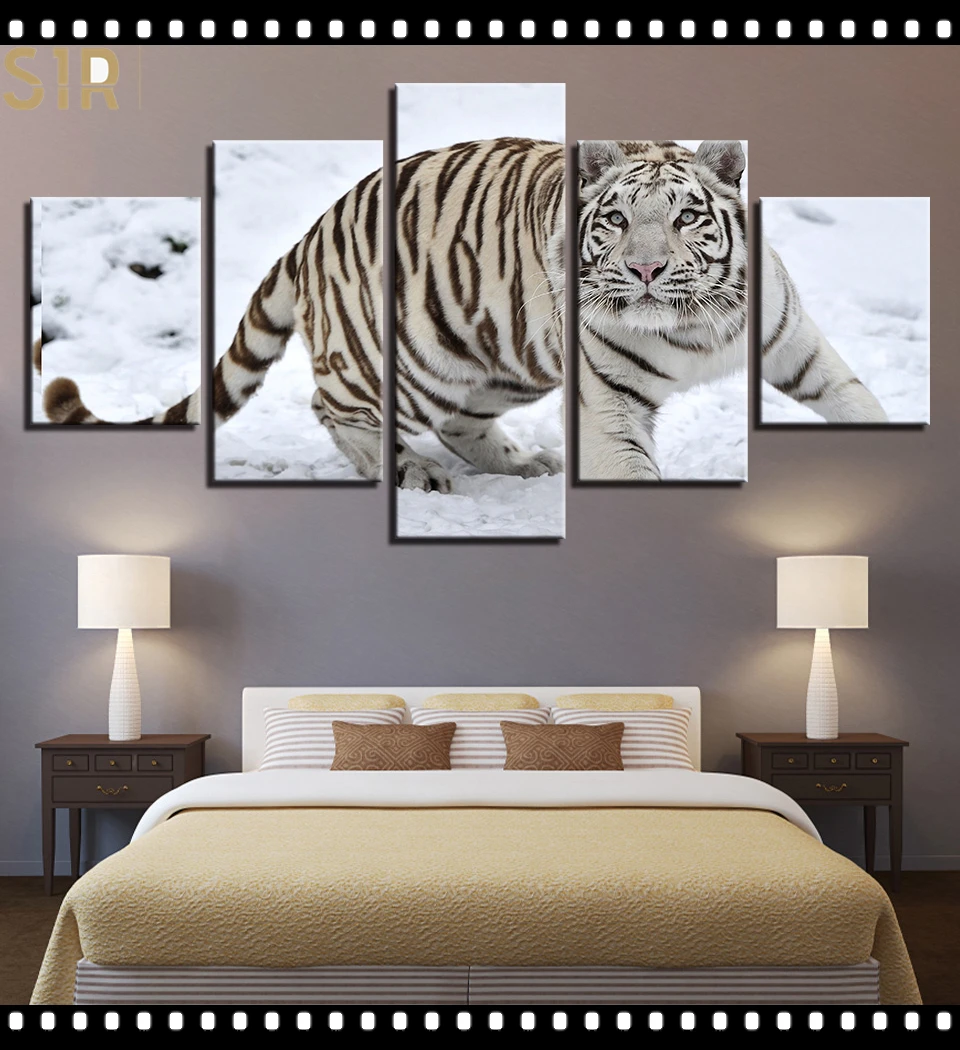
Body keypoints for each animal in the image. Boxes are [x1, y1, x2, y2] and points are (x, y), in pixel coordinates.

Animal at [44, 137, 885, 481]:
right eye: (616, 220)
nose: (644, 269)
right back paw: (411, 472)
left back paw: (522, 462)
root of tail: (311, 231)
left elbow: (857, 403)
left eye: (685, 218)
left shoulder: (792, 343)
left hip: (502, 361)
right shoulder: (609, 401)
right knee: (333, 406)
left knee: (460, 423)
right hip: (404, 362)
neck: (692, 323)